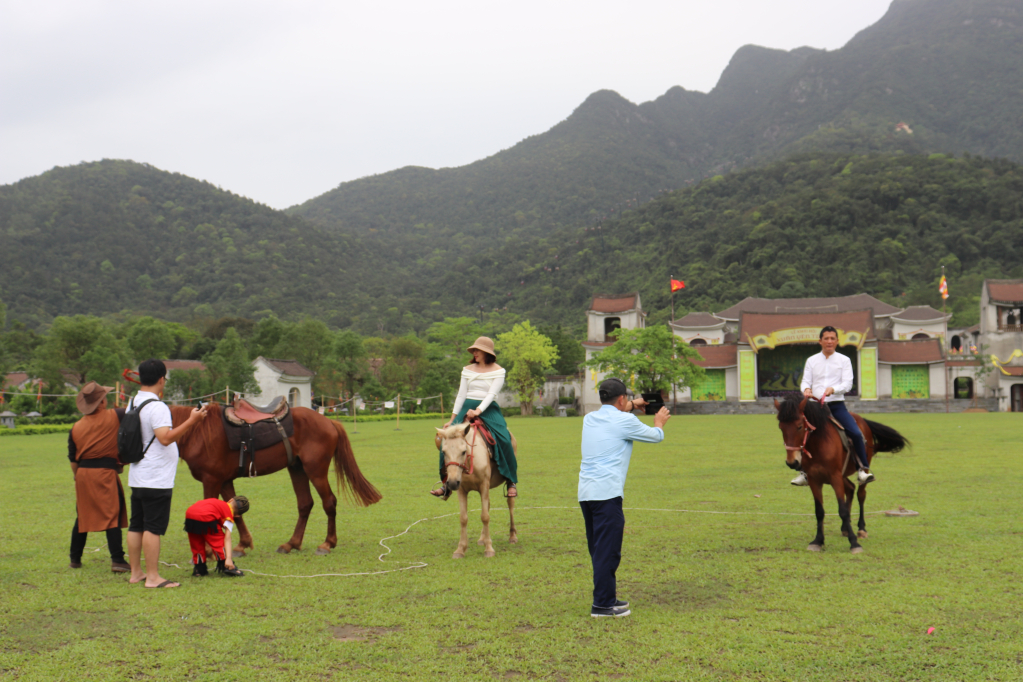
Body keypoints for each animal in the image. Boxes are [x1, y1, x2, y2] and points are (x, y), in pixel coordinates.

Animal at [171, 396, 380, 556]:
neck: (197, 431)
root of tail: (329, 421)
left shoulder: (211, 480)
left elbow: (208, 514)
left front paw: (206, 552)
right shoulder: (224, 481)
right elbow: (235, 511)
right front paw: (242, 545)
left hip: (316, 470)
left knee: (329, 501)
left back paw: (327, 543)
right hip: (297, 468)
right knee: (305, 503)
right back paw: (292, 543)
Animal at [435, 421, 519, 560]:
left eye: (463, 451)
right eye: (444, 452)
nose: (451, 483)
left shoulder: (483, 485)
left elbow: (485, 516)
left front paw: (489, 549)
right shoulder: (461, 489)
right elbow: (463, 518)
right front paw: (460, 549)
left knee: (510, 504)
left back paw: (512, 536)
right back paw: (482, 538)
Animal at [769, 396, 908, 552]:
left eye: (799, 426)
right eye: (781, 427)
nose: (792, 462)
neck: (819, 444)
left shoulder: (835, 477)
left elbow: (843, 510)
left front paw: (854, 543)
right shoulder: (814, 479)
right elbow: (819, 511)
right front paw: (818, 541)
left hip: (861, 469)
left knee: (861, 494)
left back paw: (861, 529)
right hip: (842, 475)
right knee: (851, 488)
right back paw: (845, 528)